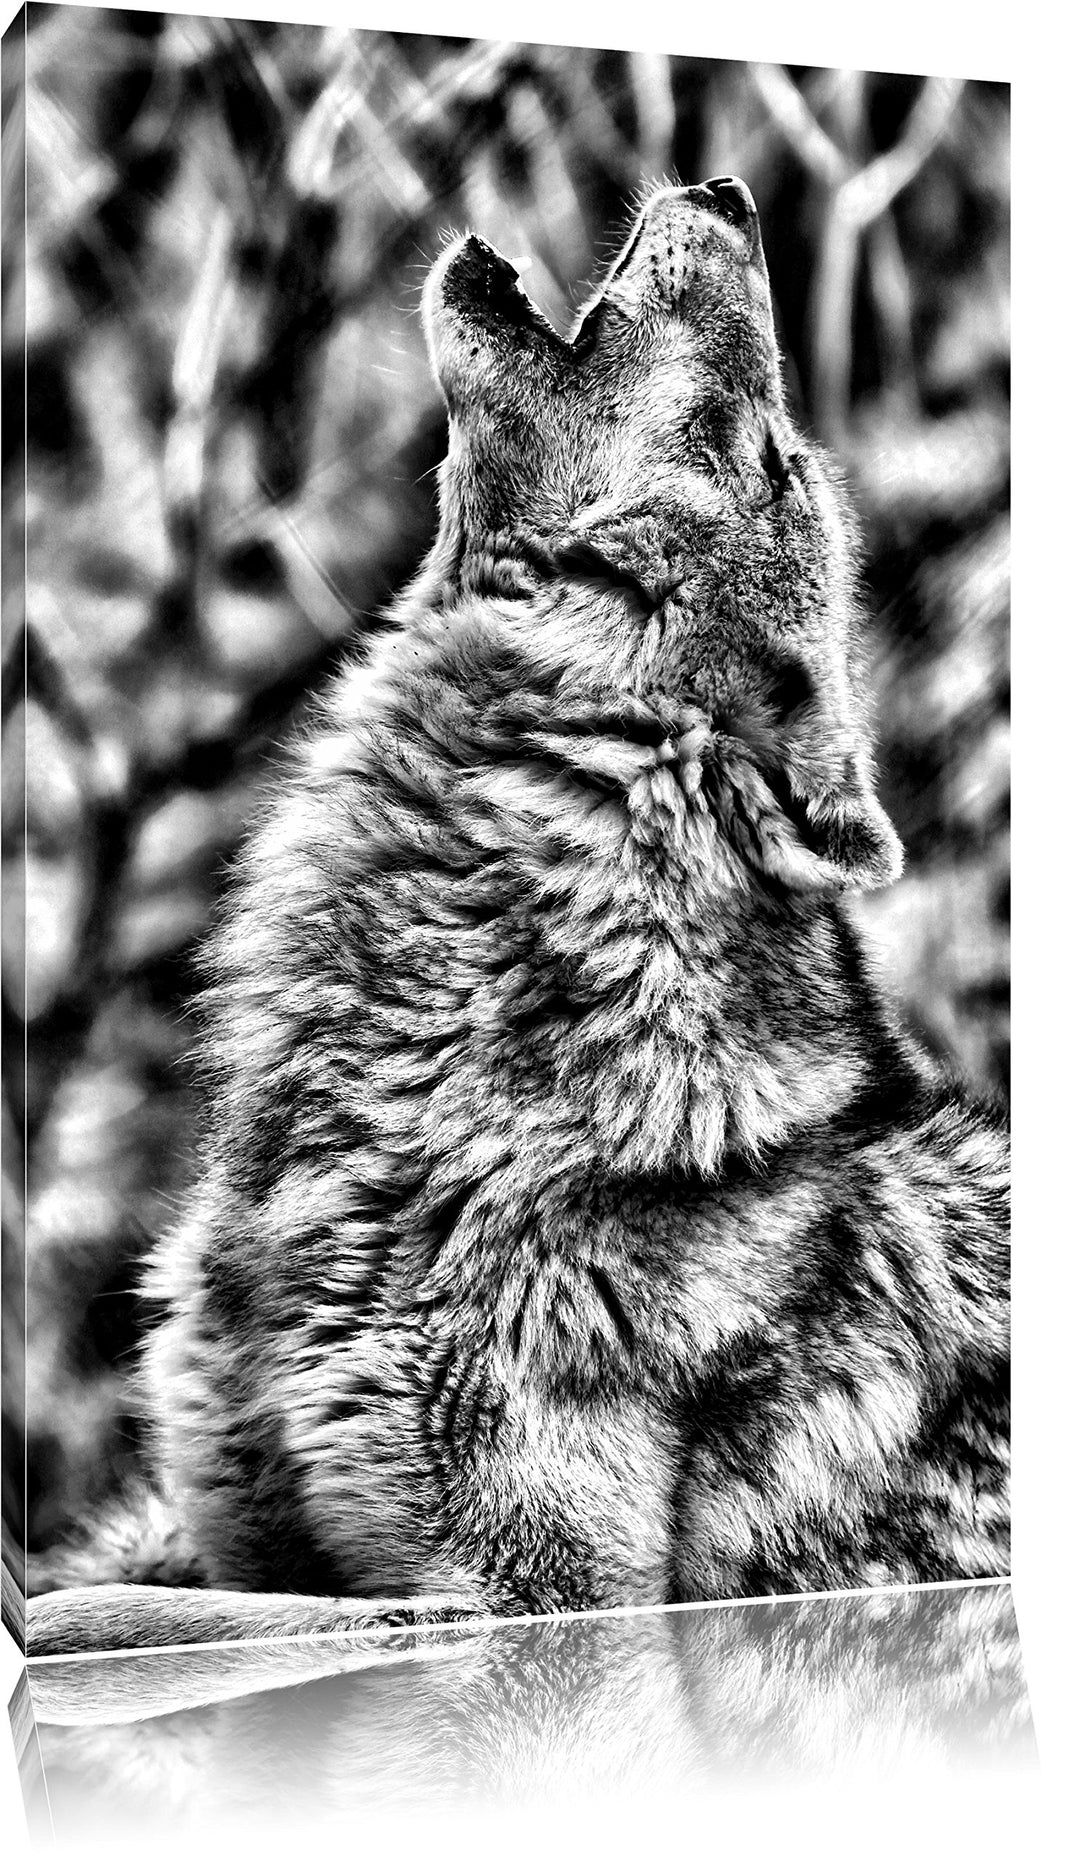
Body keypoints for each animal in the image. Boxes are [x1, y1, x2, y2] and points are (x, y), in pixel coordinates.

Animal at [27, 177, 1008, 1657]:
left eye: (764, 455)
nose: (728, 191)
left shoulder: (529, 1590)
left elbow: (125, 1614)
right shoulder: (240, 1521)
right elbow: (126, 1584)